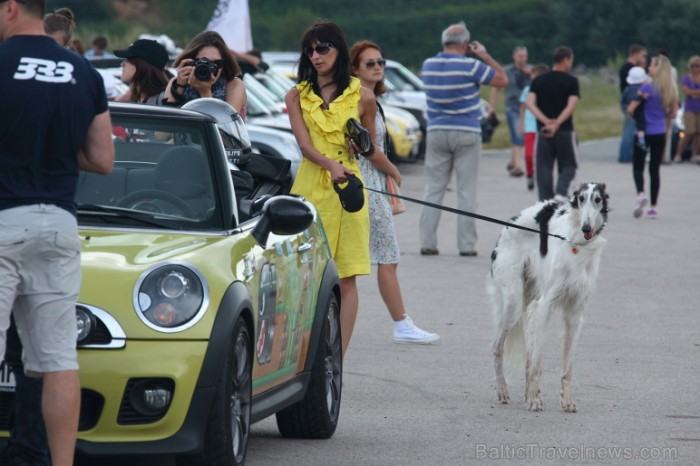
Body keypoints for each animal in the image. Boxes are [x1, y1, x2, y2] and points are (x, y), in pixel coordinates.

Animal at [490, 182, 608, 412]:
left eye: (597, 200)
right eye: (581, 198)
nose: (587, 228)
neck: (575, 243)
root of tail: (506, 226)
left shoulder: (575, 314)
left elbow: (566, 368)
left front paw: (566, 401)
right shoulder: (545, 305)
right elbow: (538, 363)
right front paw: (534, 401)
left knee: (528, 355)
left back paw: (528, 393)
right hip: (514, 303)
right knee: (498, 347)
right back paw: (503, 391)